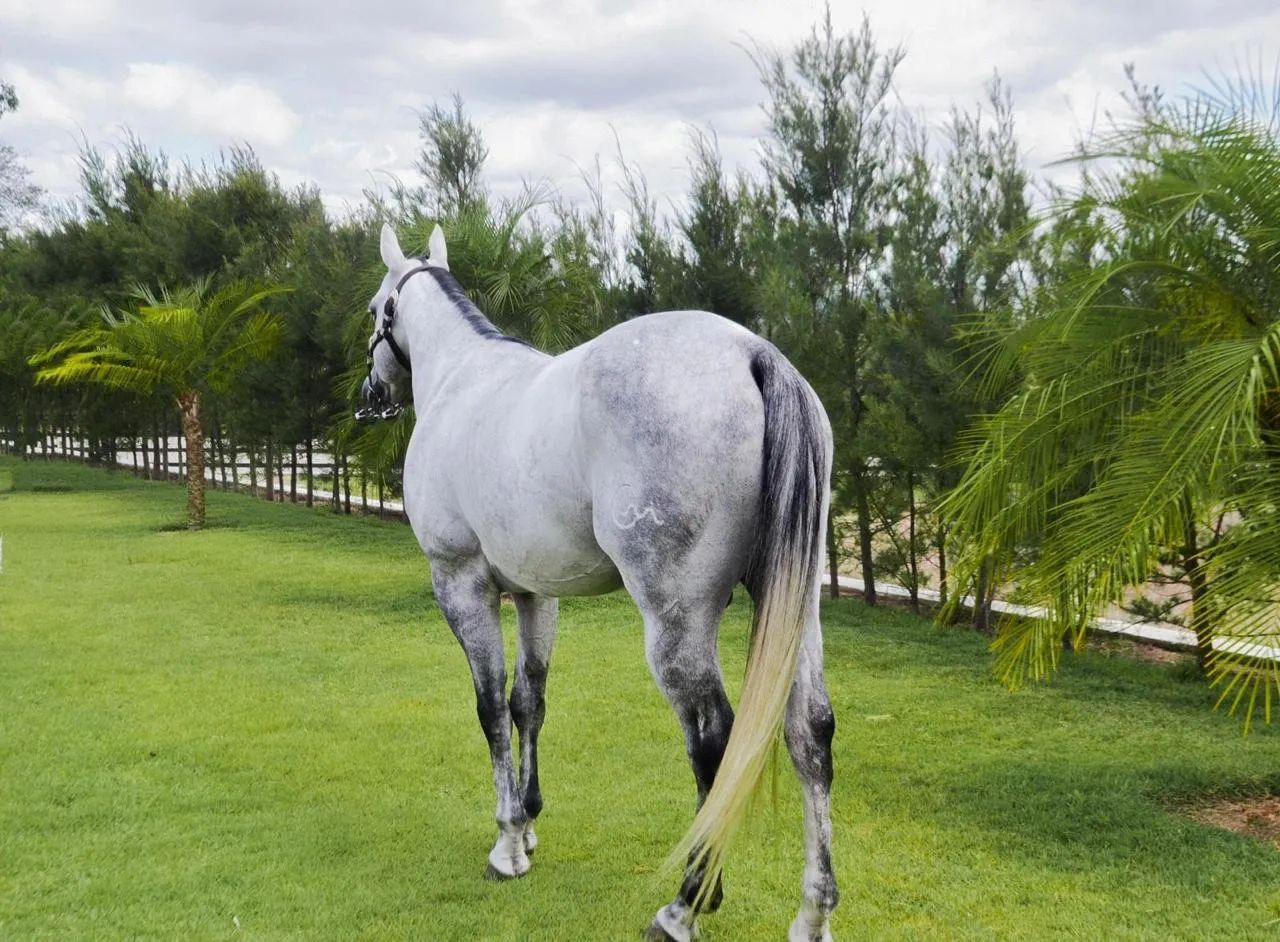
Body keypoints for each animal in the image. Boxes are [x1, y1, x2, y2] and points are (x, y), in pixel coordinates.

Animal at [359, 223, 838, 941]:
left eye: (374, 311)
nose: (370, 393)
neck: (463, 380)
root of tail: (753, 354)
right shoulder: (535, 593)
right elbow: (528, 702)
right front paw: (529, 826)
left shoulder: (461, 582)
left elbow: (490, 708)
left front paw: (507, 844)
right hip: (796, 607)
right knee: (811, 731)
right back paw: (813, 914)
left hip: (676, 623)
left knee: (713, 739)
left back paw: (685, 904)